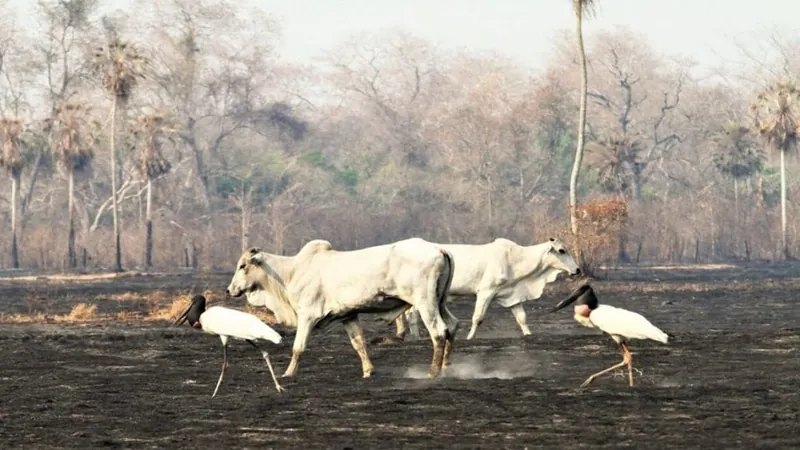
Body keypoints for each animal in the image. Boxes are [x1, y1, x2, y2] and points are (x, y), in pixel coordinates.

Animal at [225, 239, 460, 380]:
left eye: (243, 266)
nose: (230, 289)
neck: (291, 272)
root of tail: (439, 248)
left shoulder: (307, 315)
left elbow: (298, 347)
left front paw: (289, 373)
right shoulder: (348, 315)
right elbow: (359, 344)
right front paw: (368, 371)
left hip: (425, 302)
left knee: (439, 332)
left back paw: (433, 372)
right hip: (439, 301)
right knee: (452, 325)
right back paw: (446, 367)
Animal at [396, 237, 580, 340]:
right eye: (562, 250)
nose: (577, 270)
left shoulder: (511, 295)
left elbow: (522, 318)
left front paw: (529, 334)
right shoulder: (486, 292)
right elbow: (478, 318)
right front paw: (470, 337)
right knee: (411, 314)